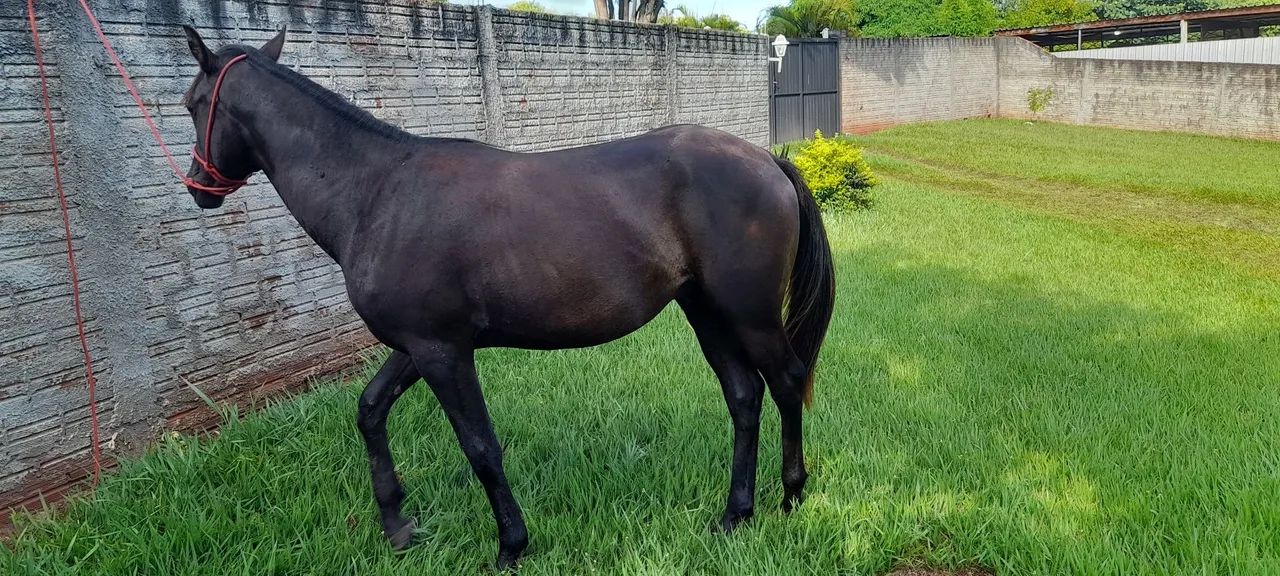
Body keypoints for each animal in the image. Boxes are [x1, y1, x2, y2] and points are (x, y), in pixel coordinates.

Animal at [179, 26, 835, 569]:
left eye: (191, 104)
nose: (198, 188)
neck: (378, 191)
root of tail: (767, 160)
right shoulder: (418, 346)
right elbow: (370, 409)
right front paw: (396, 524)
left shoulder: (442, 352)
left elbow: (480, 447)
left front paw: (510, 546)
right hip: (706, 312)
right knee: (744, 396)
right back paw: (736, 513)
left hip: (749, 316)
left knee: (785, 381)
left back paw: (791, 494)